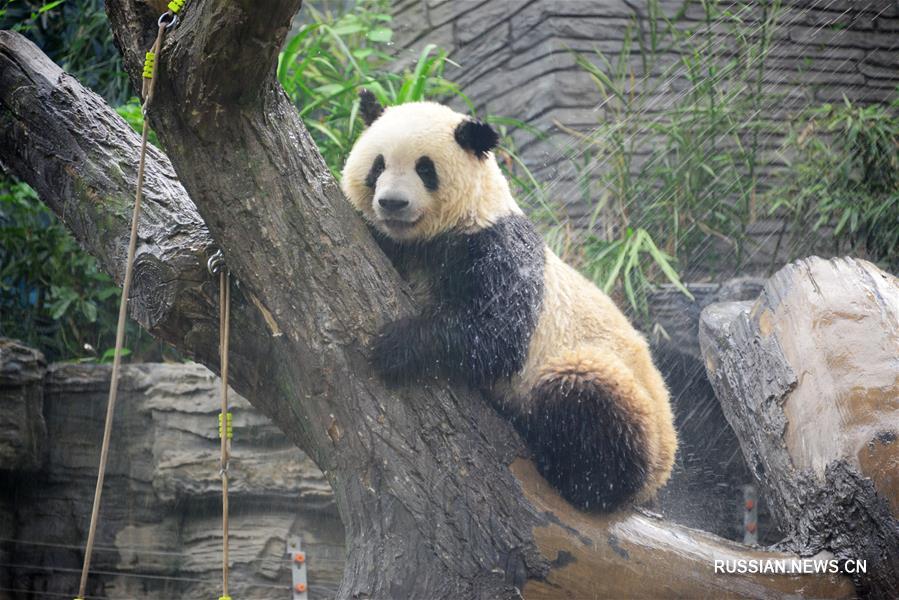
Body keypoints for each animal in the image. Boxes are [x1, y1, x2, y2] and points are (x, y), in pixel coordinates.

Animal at [342, 91, 680, 512]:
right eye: (378, 165)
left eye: (425, 168)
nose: (391, 203)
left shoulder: (496, 247)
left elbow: (498, 335)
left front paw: (394, 345)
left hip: (613, 388)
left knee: (589, 398)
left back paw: (580, 478)